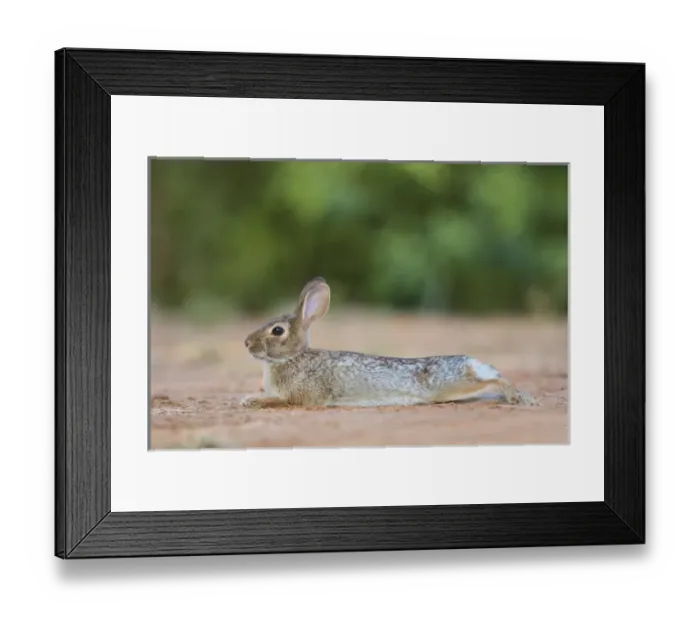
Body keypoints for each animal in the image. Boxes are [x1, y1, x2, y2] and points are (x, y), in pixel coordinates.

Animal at [240, 277, 539, 409]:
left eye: (277, 330)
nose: (246, 343)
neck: (292, 357)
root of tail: (469, 363)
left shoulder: (303, 397)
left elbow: (280, 401)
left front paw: (251, 400)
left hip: (452, 382)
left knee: (496, 378)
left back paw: (518, 397)